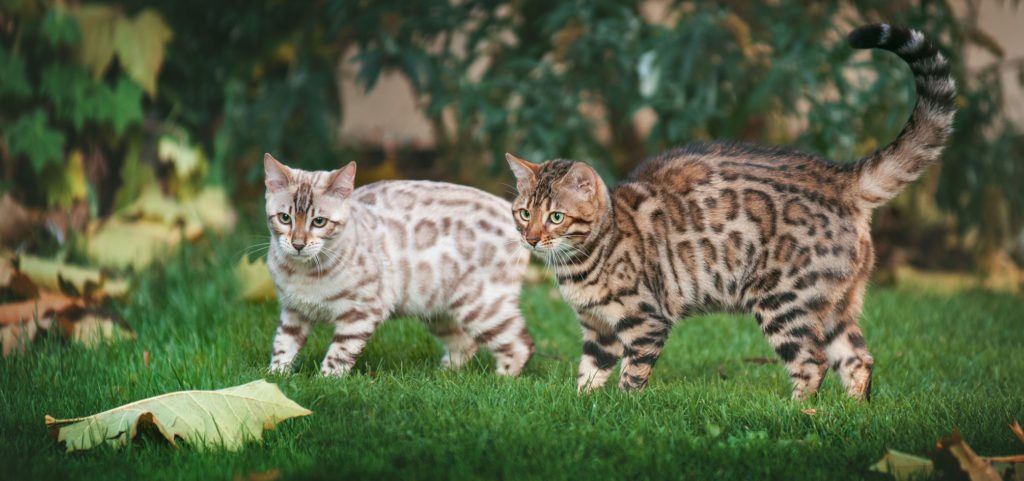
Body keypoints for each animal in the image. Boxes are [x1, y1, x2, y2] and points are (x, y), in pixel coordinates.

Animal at [262, 154, 536, 376]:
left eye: (319, 221)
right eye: (284, 218)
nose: (298, 244)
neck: (303, 273)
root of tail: (514, 214)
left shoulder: (361, 313)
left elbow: (339, 355)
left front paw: (325, 382)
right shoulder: (293, 312)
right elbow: (282, 348)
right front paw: (275, 381)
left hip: (481, 308)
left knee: (521, 344)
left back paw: (501, 380)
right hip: (437, 312)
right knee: (467, 344)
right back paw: (442, 377)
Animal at [503, 24, 958, 401]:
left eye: (556, 217)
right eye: (524, 213)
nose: (531, 239)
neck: (580, 262)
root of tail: (840, 178)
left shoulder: (646, 320)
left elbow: (632, 376)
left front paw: (621, 408)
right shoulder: (598, 329)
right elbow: (590, 373)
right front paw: (583, 405)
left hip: (784, 301)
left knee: (812, 362)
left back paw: (797, 414)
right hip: (835, 304)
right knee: (858, 358)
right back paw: (851, 413)